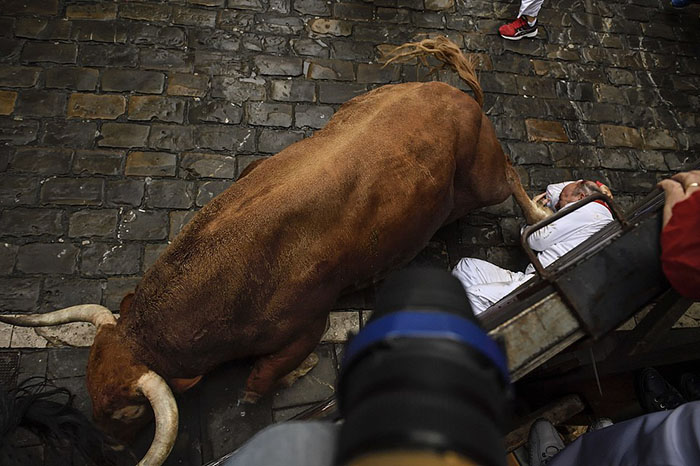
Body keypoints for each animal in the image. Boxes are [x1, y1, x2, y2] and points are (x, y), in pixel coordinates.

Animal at [0, 37, 524, 466]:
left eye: (129, 411)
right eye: (89, 379)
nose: (107, 445)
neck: (234, 266)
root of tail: (462, 98)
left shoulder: (307, 324)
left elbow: (262, 377)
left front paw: (259, 393)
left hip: (485, 179)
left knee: (512, 176)